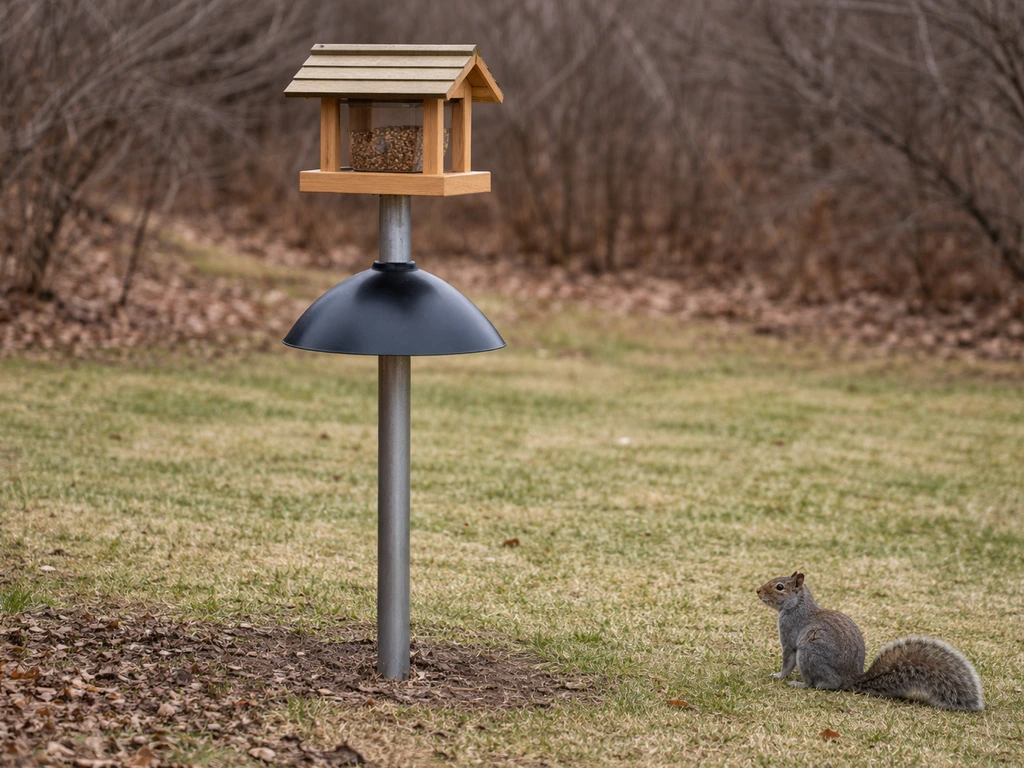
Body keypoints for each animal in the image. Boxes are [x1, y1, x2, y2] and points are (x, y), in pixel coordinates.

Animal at [756, 572, 983, 711]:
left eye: (779, 587)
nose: (757, 591)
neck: (797, 605)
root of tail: (849, 679)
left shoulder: (790, 634)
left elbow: (787, 660)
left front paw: (779, 675)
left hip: (810, 652)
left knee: (820, 685)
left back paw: (801, 684)